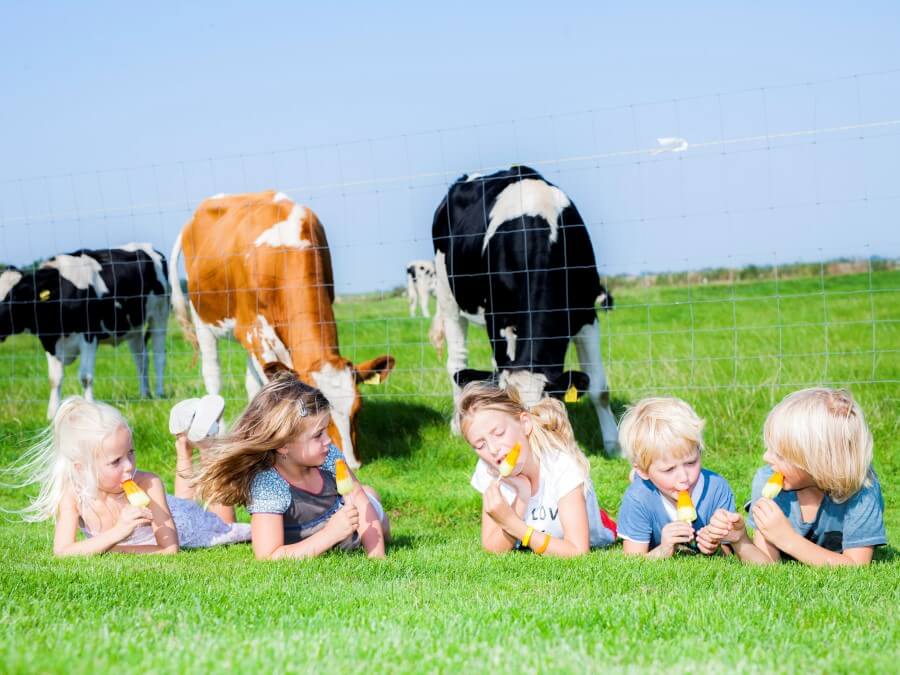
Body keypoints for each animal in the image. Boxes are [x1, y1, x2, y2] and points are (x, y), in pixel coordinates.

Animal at [0, 246, 171, 420]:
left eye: (14, 296)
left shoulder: (88, 336)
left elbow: (85, 377)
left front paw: (90, 409)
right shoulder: (50, 342)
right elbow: (54, 379)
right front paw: (52, 414)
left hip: (160, 314)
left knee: (159, 356)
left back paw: (159, 393)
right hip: (134, 327)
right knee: (141, 360)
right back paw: (145, 395)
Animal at [430, 166, 620, 456]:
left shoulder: (586, 312)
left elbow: (599, 388)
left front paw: (614, 446)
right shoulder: (496, 319)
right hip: (447, 296)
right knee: (457, 362)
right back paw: (457, 424)